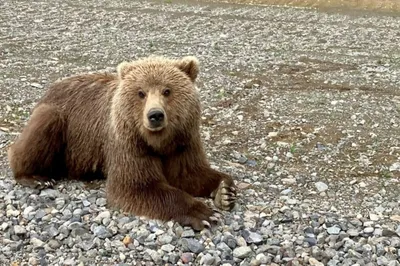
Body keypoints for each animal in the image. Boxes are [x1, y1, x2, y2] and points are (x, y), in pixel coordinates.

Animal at [7, 55, 236, 230]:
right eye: (141, 93)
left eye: (167, 90)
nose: (155, 115)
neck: (158, 142)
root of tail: (52, 87)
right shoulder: (127, 143)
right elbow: (136, 186)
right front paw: (202, 213)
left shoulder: (183, 141)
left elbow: (189, 173)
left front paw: (225, 191)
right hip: (61, 119)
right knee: (42, 127)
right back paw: (35, 177)